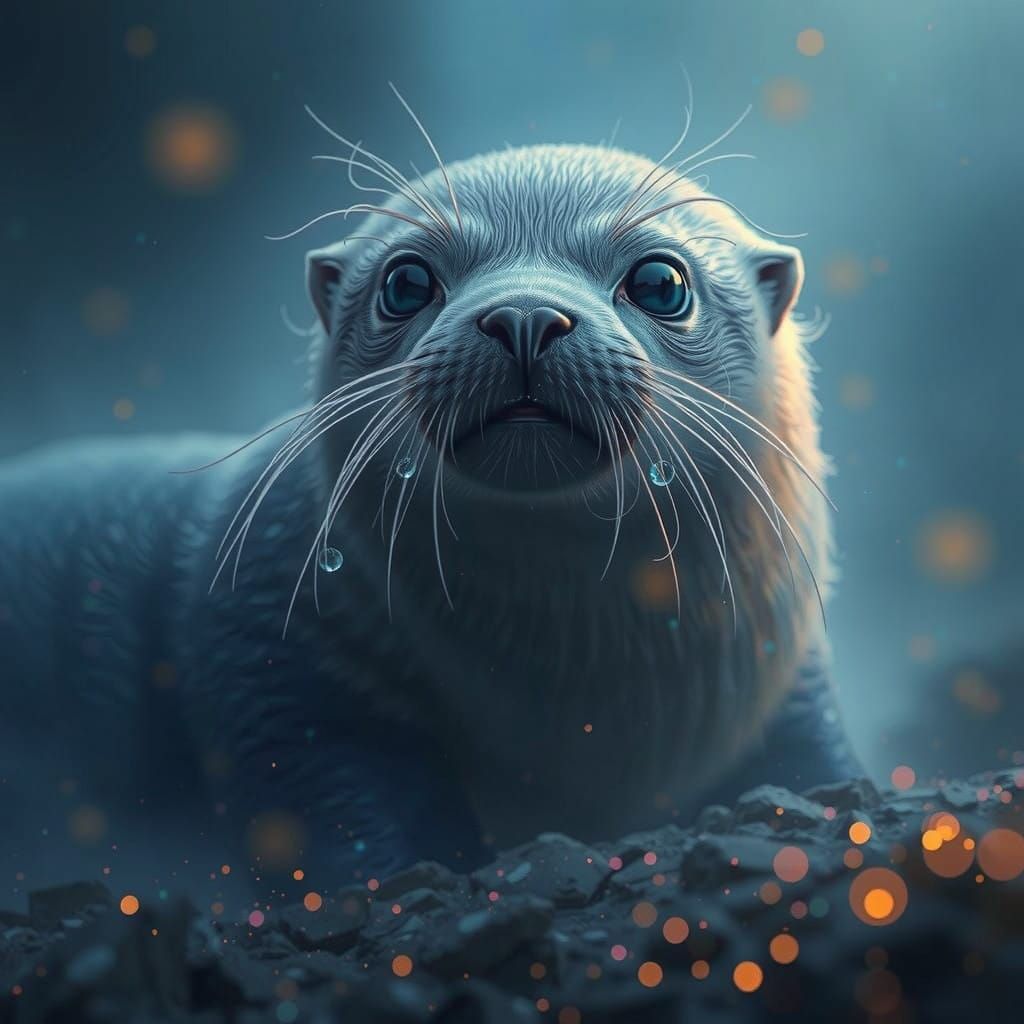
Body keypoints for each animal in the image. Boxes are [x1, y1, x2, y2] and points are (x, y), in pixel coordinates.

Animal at [0, 115, 860, 893]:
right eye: (406, 281)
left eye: (660, 282)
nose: (524, 313)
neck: (580, 702)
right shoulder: (264, 655)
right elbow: (332, 806)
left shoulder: (789, 678)